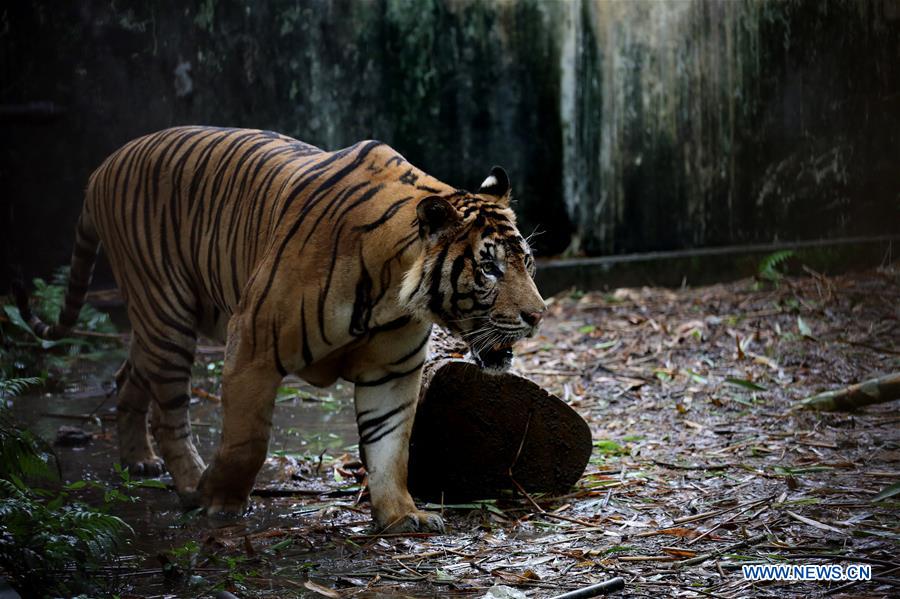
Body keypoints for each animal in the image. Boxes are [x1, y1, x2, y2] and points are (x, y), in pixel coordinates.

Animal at [17, 126, 546, 532]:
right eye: (489, 269)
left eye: (527, 262)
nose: (538, 315)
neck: (391, 295)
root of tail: (102, 167)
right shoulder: (251, 345)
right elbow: (247, 440)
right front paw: (220, 502)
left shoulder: (392, 372)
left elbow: (390, 446)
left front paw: (401, 515)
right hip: (165, 312)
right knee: (170, 412)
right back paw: (189, 483)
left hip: (156, 324)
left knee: (127, 376)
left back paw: (137, 460)